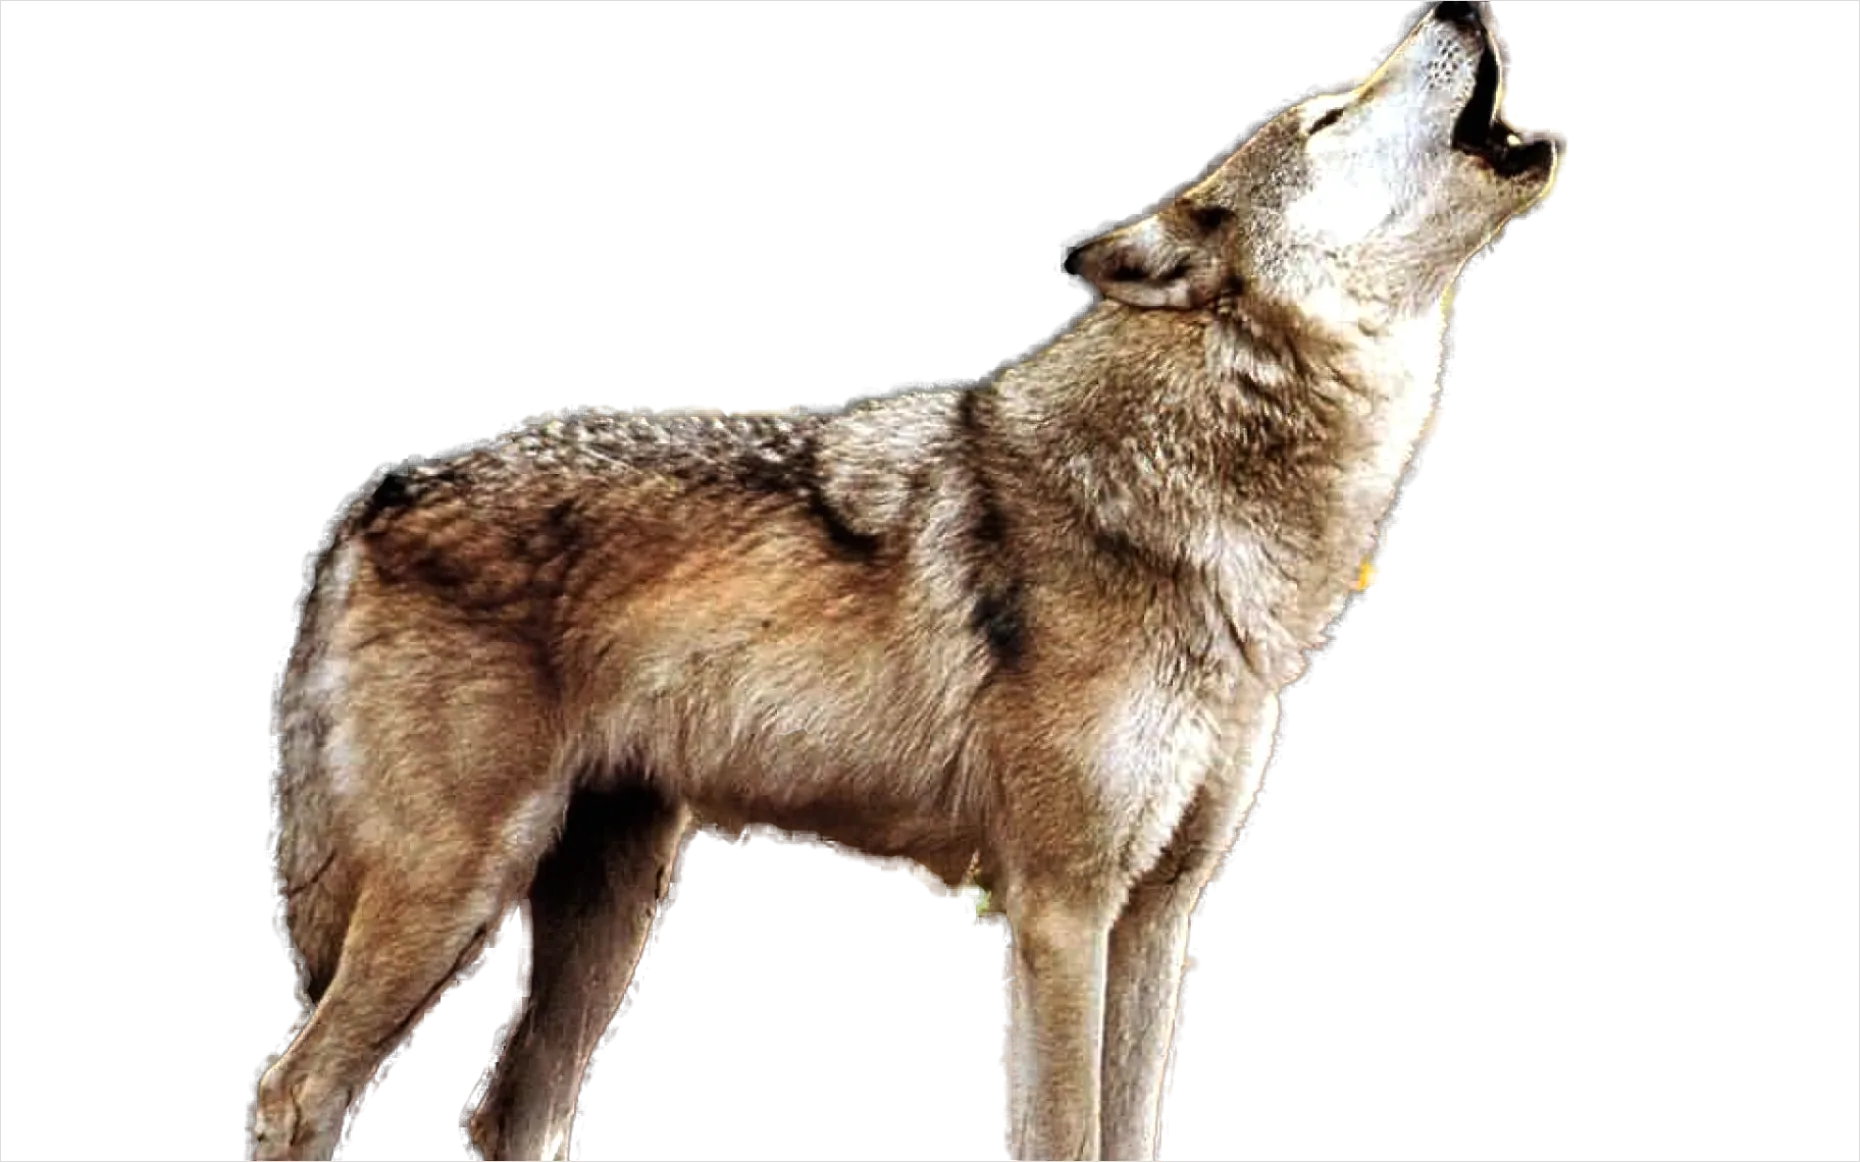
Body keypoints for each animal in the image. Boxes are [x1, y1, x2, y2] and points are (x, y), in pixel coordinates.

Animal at [249, 5, 1565, 1159]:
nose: (1462, 7)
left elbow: (1129, 1132)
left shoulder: (1157, 913)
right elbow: (1068, 1135)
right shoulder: (1060, 908)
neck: (1199, 503)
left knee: (508, 1112)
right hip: (459, 891)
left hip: (605, 909)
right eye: (1331, 113)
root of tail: (383, 496)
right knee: (296, 1087)